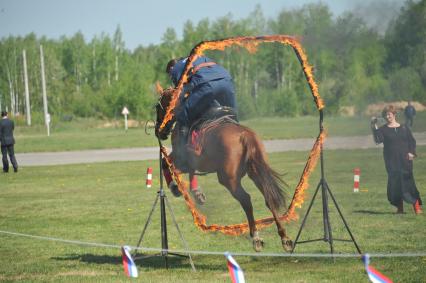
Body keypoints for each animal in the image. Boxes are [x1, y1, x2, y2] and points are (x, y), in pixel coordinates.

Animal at [156, 87, 292, 252]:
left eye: (158, 107)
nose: (158, 131)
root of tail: (245, 135)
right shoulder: (191, 162)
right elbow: (188, 171)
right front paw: (197, 193)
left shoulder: (181, 160)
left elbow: (166, 163)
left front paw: (175, 187)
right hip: (256, 173)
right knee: (269, 198)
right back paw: (284, 238)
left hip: (229, 179)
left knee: (246, 200)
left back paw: (256, 237)